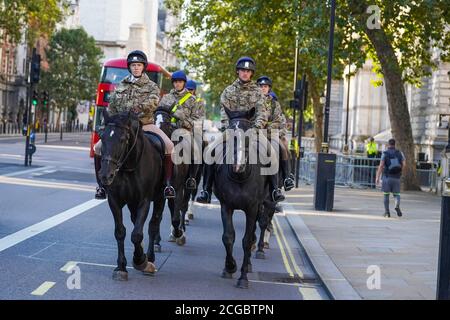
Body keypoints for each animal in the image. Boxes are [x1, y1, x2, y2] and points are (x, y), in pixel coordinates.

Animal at [99, 110, 166, 280]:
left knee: (153, 225)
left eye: (123, 139)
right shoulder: (114, 201)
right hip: (132, 203)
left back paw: (149, 258)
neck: (128, 167)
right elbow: (120, 231)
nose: (105, 175)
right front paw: (121, 266)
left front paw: (140, 260)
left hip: (160, 198)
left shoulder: (144, 201)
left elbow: (137, 234)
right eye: (102, 137)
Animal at [212, 107, 270, 290]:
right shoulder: (226, 206)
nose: (238, 166)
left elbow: (246, 241)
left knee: (259, 228)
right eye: (230, 134)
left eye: (249, 134)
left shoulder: (252, 208)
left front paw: (243, 277)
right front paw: (230, 267)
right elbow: (228, 237)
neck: (240, 177)